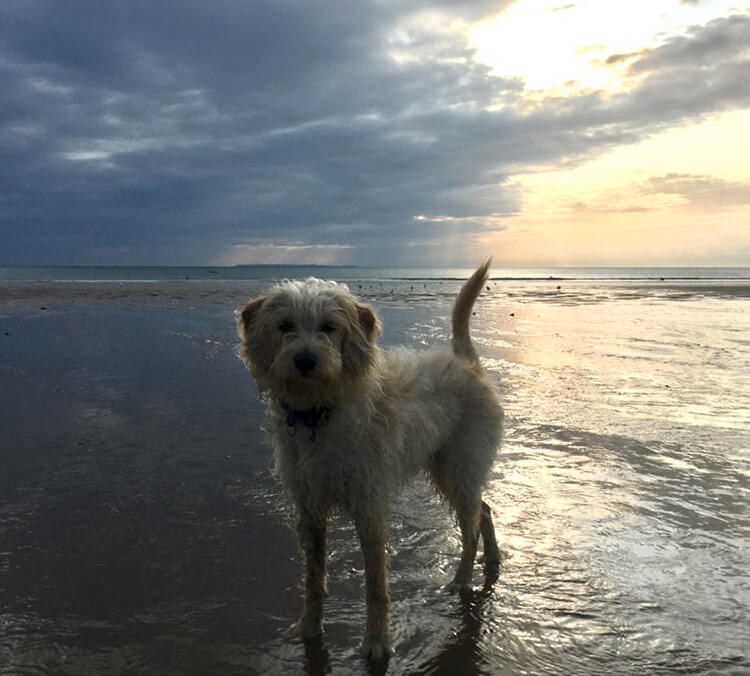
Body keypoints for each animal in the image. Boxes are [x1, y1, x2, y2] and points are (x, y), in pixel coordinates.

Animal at [236, 260, 503, 659]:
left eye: (328, 327)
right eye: (284, 326)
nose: (305, 361)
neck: (320, 413)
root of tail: (465, 362)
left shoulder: (370, 505)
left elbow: (376, 584)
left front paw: (377, 642)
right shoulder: (309, 506)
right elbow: (313, 577)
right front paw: (309, 628)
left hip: (460, 467)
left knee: (470, 525)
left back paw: (461, 579)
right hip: (451, 469)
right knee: (483, 509)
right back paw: (492, 559)